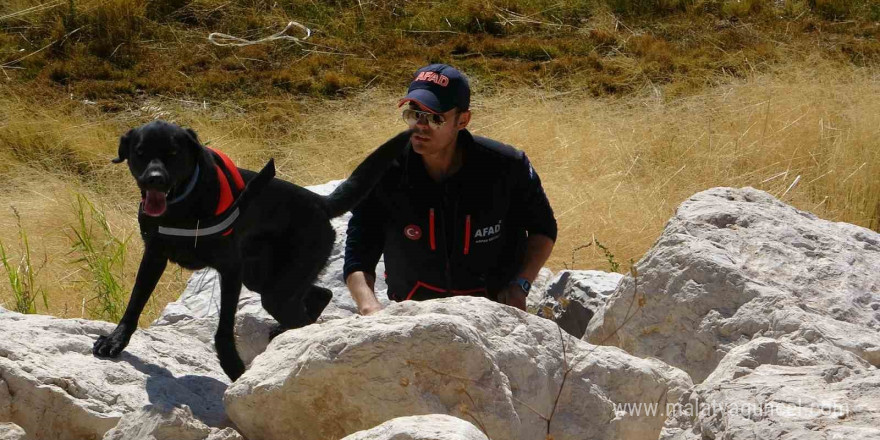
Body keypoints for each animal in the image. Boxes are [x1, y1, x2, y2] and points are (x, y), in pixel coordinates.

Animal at [94, 119, 410, 378]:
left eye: (173, 153)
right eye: (140, 152)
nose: (155, 179)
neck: (182, 207)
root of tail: (319, 201)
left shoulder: (231, 269)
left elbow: (223, 328)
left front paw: (232, 365)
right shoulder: (154, 256)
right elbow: (135, 303)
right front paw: (116, 340)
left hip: (275, 283)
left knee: (304, 310)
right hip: (264, 277)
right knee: (320, 293)